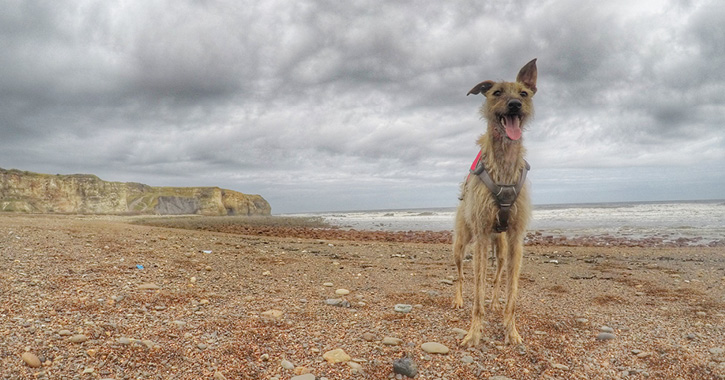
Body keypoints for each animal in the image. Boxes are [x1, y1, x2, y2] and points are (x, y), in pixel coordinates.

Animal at [452, 59, 536, 348]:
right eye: (496, 92)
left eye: (524, 93)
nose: (514, 105)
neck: (504, 167)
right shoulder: (479, 235)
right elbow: (477, 291)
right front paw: (474, 332)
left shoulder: (516, 238)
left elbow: (511, 290)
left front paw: (511, 330)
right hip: (462, 241)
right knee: (460, 274)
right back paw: (458, 299)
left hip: (499, 246)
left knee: (498, 275)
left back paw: (495, 302)